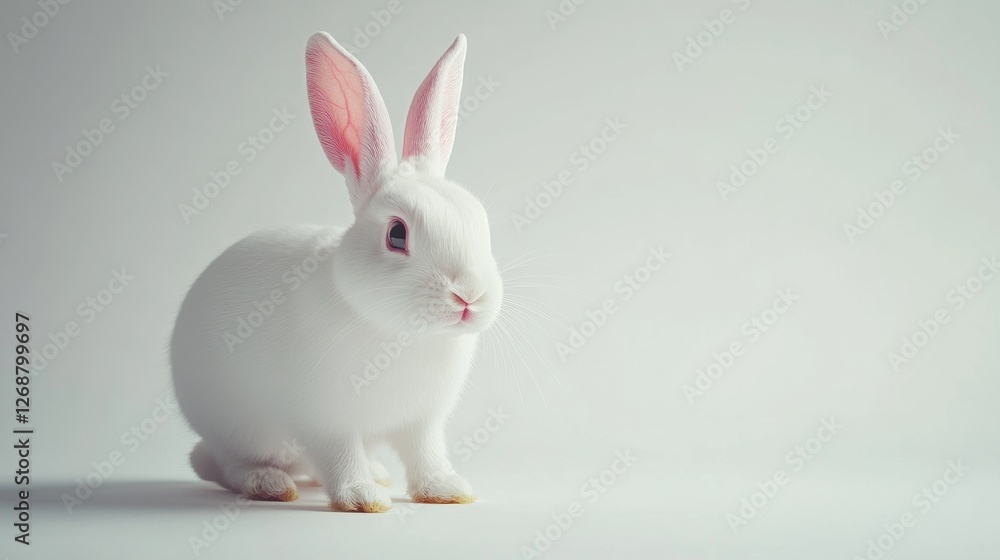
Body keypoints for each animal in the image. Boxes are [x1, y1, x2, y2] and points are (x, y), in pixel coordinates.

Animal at [170, 32, 502, 513]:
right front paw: (360, 498)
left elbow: (425, 454)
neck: (400, 335)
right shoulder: (325, 420)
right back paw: (269, 484)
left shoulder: (422, 421)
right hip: (239, 428)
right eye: (397, 235)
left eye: (481, 222)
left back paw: (376, 473)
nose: (469, 296)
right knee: (224, 464)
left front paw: (447, 490)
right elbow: (340, 455)